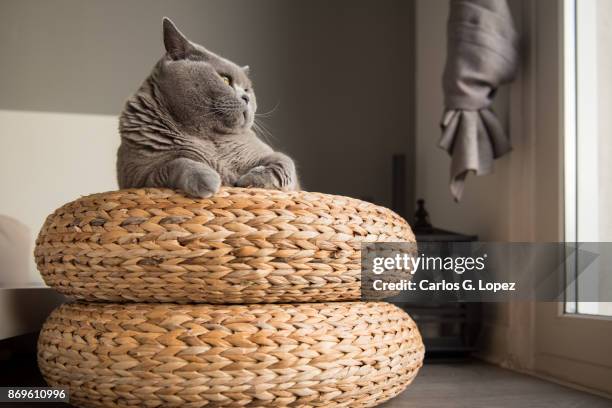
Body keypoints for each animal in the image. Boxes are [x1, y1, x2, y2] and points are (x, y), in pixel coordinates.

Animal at [117, 18, 298, 197]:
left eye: (247, 90)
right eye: (225, 79)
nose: (246, 97)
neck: (212, 140)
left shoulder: (270, 157)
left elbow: (284, 161)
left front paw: (252, 180)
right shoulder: (139, 177)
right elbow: (176, 163)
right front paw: (207, 179)